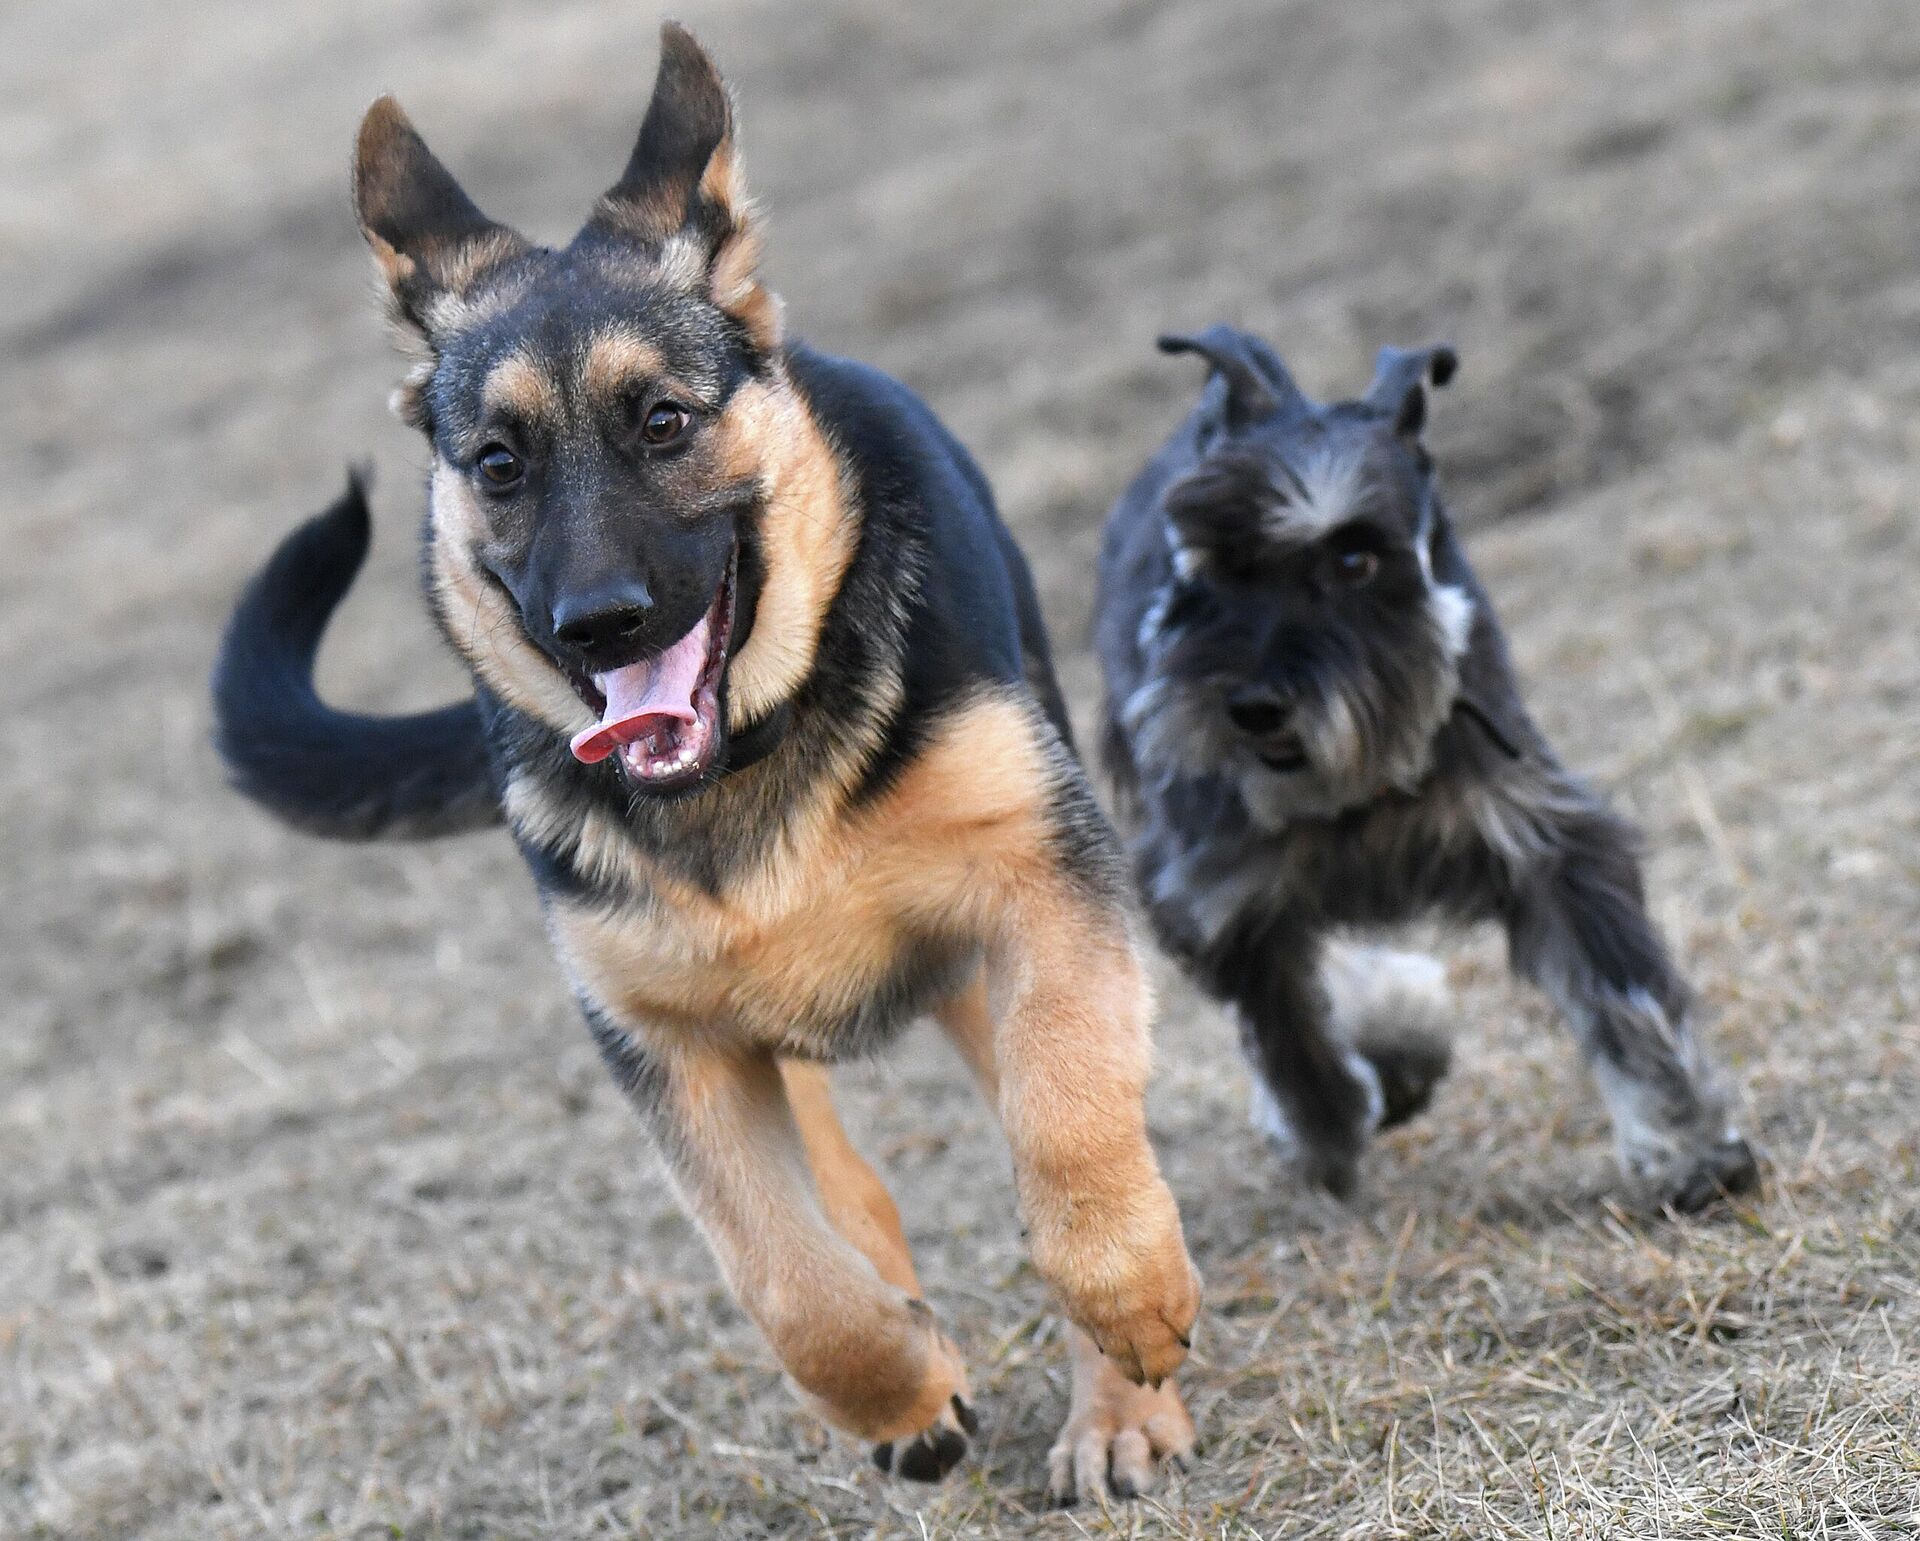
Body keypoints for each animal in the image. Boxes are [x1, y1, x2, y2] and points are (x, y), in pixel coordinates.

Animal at [214, 27, 1198, 1504]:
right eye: (495, 463)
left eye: (665, 422)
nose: (598, 622)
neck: (749, 755)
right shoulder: (667, 1040)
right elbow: (785, 1276)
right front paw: (900, 1379)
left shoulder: (1040, 889)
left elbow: (1070, 1124)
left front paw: (1130, 1319)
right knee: (843, 1193)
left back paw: (1117, 1398)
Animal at [1105, 328, 1758, 1220]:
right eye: (1216, 561)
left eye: (1354, 558)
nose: (1253, 706)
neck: (1358, 784)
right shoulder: (1219, 893)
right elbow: (1291, 1035)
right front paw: (1325, 1135)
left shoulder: (1545, 838)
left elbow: (1625, 990)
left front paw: (1691, 1148)